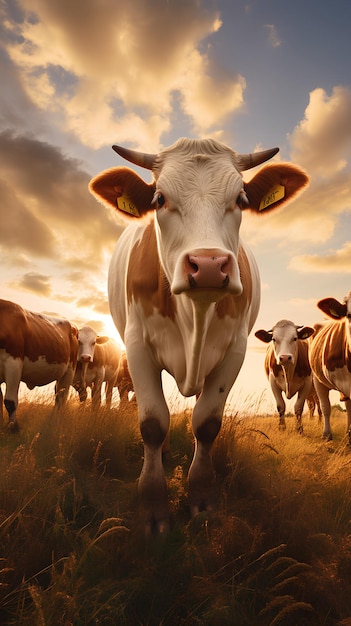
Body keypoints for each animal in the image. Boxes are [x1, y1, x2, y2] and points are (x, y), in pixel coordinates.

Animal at [0, 298, 77, 428]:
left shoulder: (13, 363)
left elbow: (10, 402)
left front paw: (13, 427)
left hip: (69, 372)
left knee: (61, 400)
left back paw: (56, 423)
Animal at [89, 136, 310, 532]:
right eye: (159, 199)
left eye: (241, 199)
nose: (208, 265)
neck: (195, 314)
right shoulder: (137, 346)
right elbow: (152, 423)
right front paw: (153, 507)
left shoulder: (235, 350)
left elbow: (206, 424)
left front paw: (202, 500)